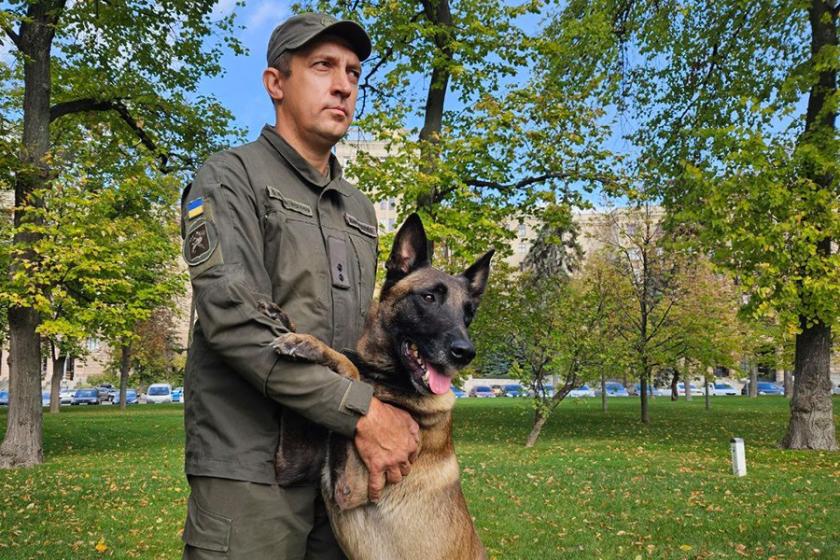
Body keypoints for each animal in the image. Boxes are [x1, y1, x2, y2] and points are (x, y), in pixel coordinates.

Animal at [269, 213, 493, 560]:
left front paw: (310, 344)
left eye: (468, 315)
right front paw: (288, 324)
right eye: (429, 297)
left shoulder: (350, 486)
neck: (388, 380)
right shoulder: (291, 465)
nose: (465, 353)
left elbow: (350, 368)